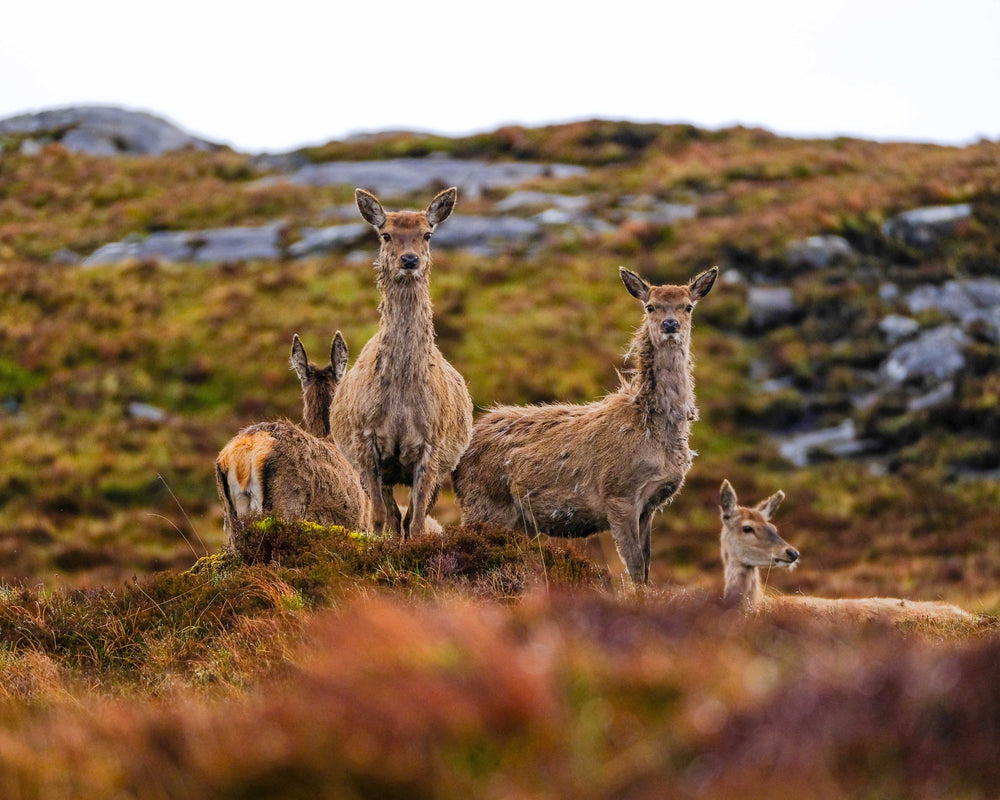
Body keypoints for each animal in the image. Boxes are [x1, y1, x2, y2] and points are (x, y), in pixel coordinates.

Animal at [324, 186, 472, 544]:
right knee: (392, 516)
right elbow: (380, 518)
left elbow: (416, 523)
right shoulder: (365, 443)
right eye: (386, 234)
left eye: (427, 234)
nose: (409, 259)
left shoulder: (433, 446)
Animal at [454, 266, 720, 584]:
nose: (670, 324)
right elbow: (635, 569)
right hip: (485, 503)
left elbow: (645, 568)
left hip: (515, 521)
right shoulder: (618, 493)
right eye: (650, 306)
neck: (652, 428)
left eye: (688, 306)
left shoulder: (650, 505)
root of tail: (459, 459)